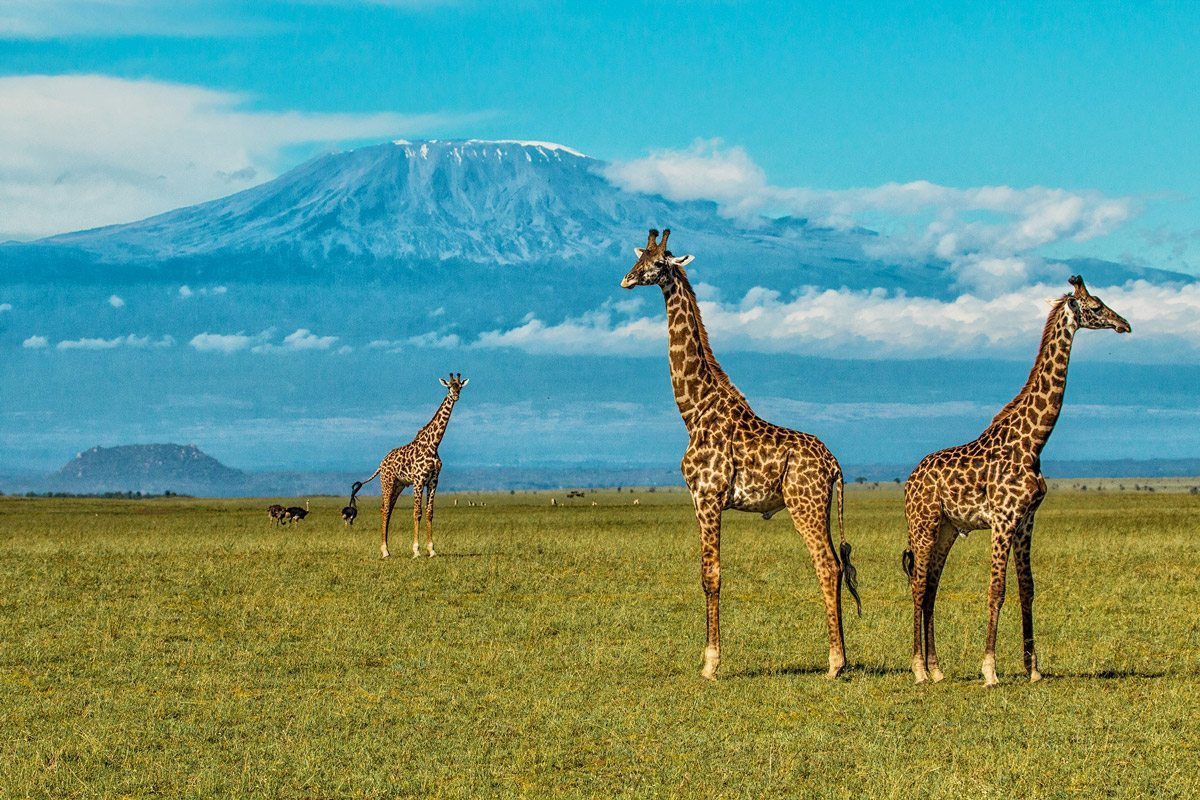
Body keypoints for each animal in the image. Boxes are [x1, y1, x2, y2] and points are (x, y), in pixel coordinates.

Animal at [350, 373, 469, 559]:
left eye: (460, 387)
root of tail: (381, 463)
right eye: (449, 387)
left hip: (398, 485)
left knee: (389, 509)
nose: (456, 396)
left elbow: (429, 512)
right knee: (384, 509)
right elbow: (417, 512)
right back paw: (384, 551)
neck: (433, 444)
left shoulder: (434, 481)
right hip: (387, 482)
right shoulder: (418, 480)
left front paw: (432, 550)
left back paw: (387, 549)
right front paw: (416, 550)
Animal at [621, 229, 861, 681]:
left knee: (827, 564)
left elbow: (710, 574)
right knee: (836, 566)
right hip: (819, 507)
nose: (626, 279)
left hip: (804, 504)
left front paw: (710, 663)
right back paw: (839, 659)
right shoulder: (703, 499)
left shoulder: (707, 496)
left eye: (659, 263)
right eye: (639, 257)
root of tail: (835, 465)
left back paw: (835, 664)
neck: (693, 409)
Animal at [903, 276, 1130, 687]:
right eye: (1095, 306)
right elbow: (997, 589)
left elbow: (1028, 589)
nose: (1125, 324)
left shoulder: (1026, 520)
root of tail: (910, 479)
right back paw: (919, 670)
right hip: (923, 524)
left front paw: (1033, 669)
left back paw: (938, 669)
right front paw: (990, 670)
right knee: (918, 586)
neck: (1033, 441)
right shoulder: (1003, 519)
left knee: (931, 589)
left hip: (947, 528)